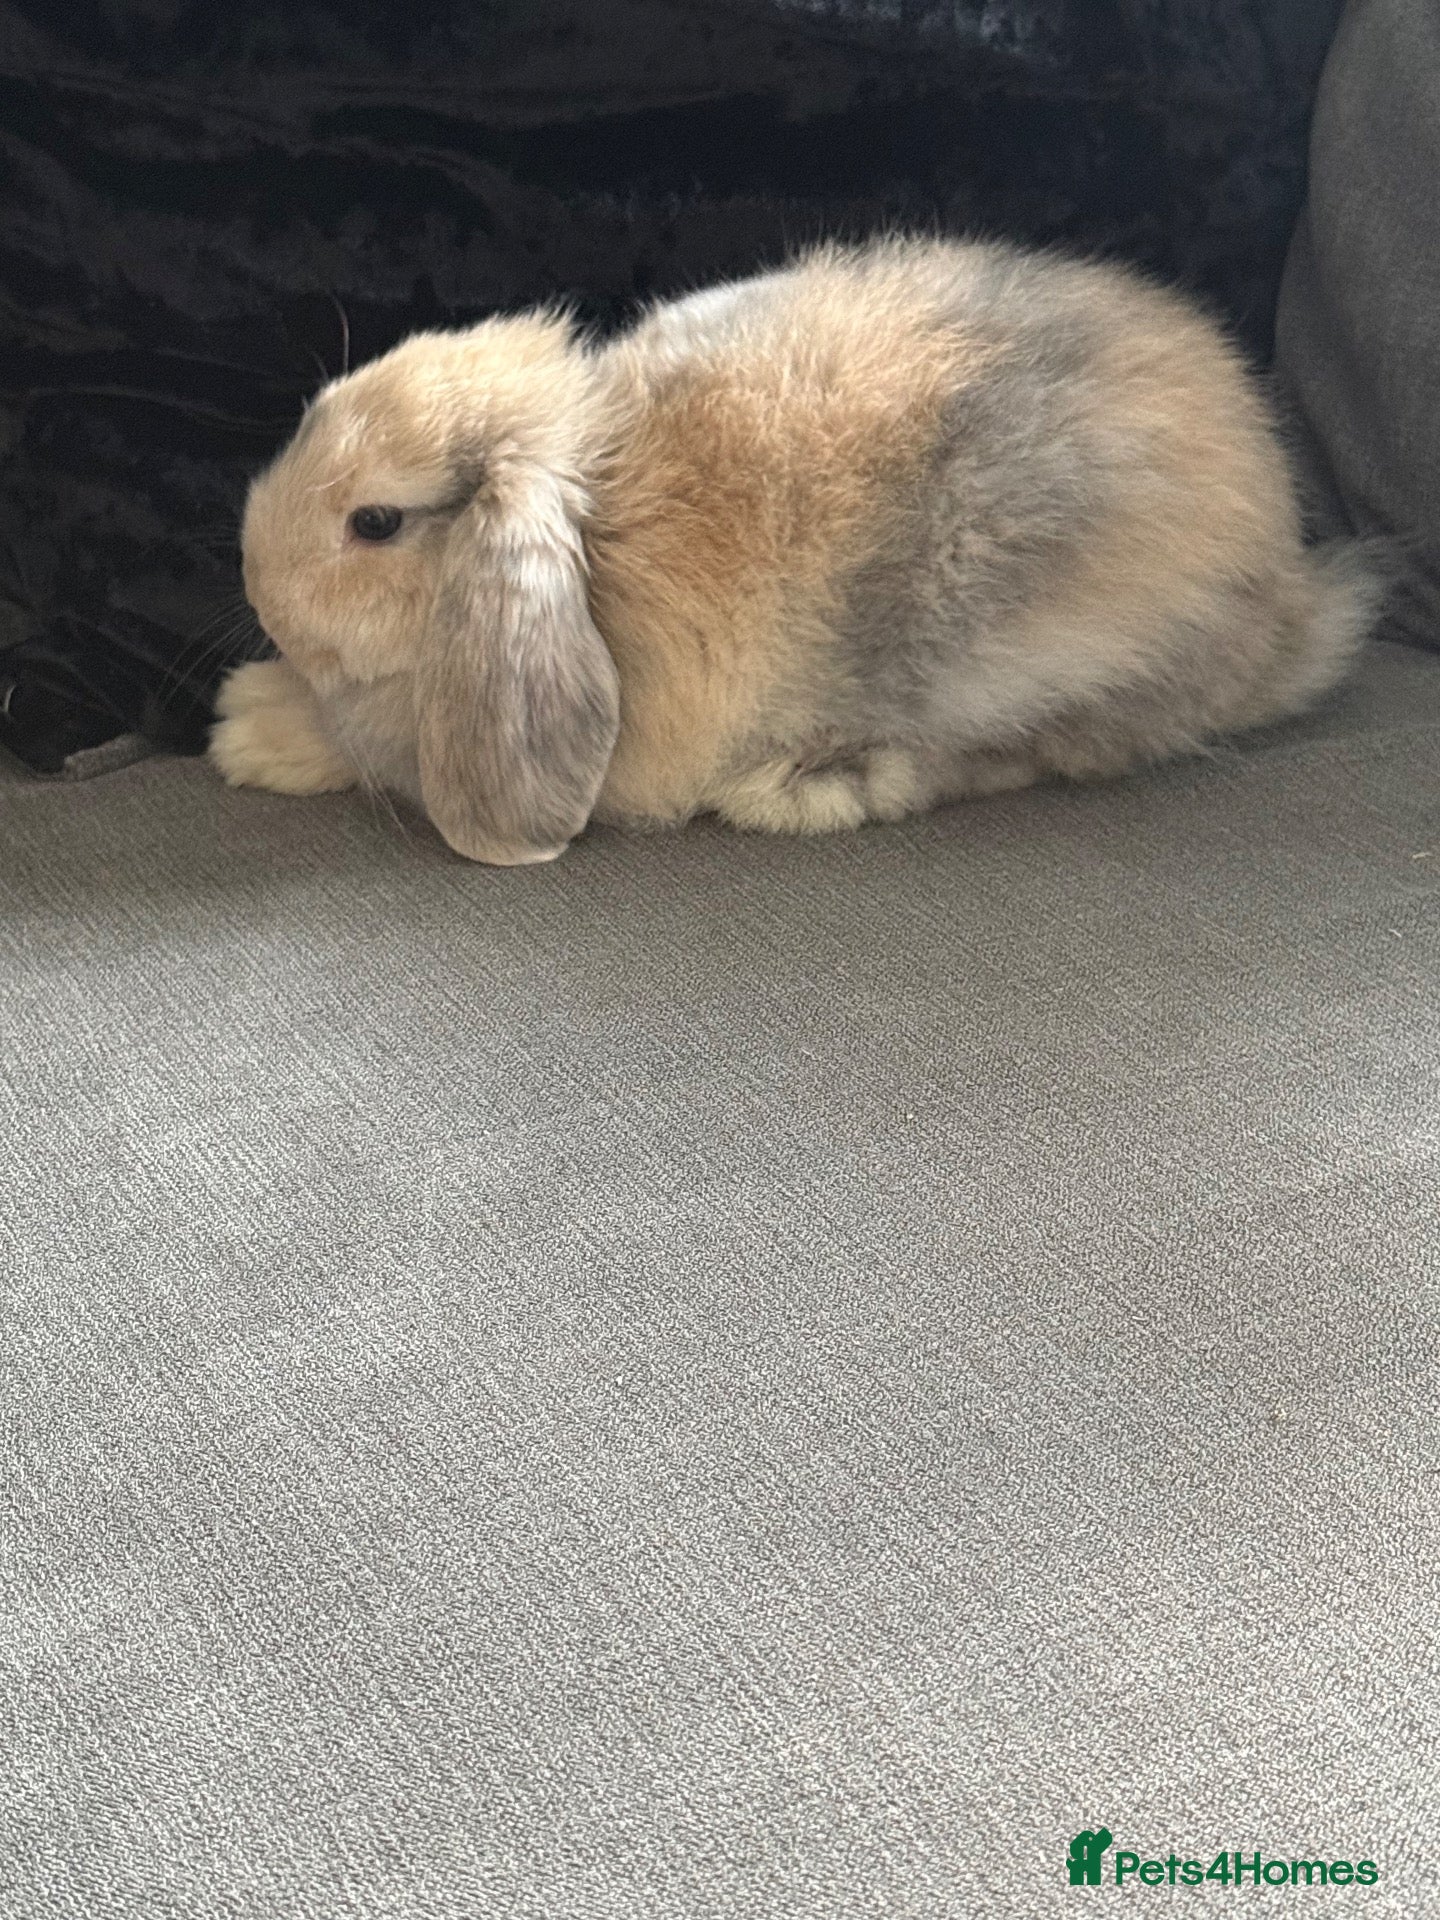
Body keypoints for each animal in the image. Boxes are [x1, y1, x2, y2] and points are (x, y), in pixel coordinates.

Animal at [212, 235, 1381, 865]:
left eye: (373, 523)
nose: (254, 580)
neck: (596, 529)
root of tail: (1290, 596)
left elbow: (367, 754)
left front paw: (247, 730)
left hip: (1023, 649)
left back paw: (805, 787)